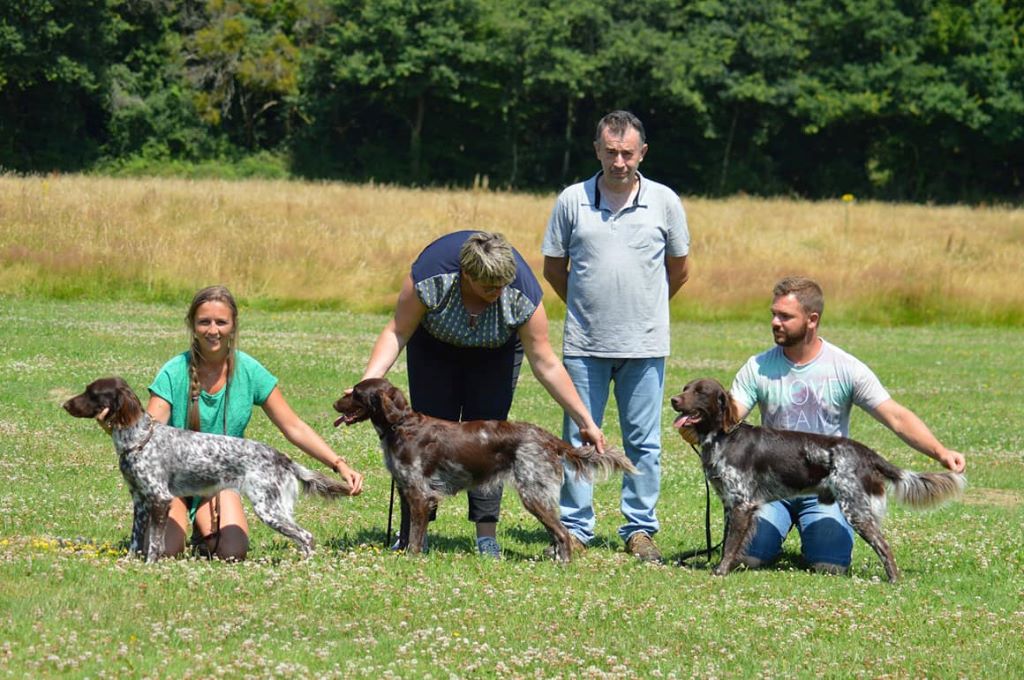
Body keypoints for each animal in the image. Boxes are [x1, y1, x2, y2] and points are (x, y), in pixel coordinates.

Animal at [331, 376, 634, 561]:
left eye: (356, 393)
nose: (334, 402)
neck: (401, 425)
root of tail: (546, 437)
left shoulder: (419, 495)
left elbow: (415, 536)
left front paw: (411, 558)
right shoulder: (411, 492)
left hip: (534, 494)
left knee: (563, 534)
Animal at [667, 374, 962, 581]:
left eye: (700, 391)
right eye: (685, 388)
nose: (673, 400)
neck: (722, 437)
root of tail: (867, 453)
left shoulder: (742, 504)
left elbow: (730, 545)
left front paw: (720, 571)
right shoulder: (731, 504)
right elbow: (731, 541)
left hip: (856, 509)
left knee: (884, 546)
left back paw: (893, 580)